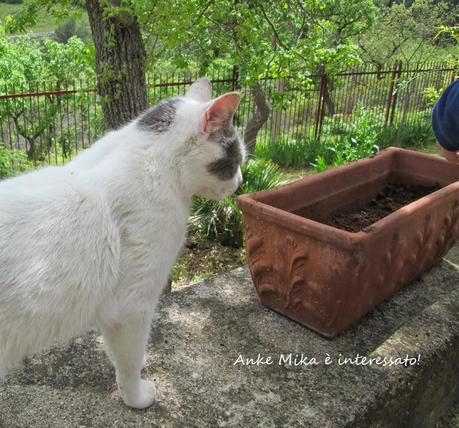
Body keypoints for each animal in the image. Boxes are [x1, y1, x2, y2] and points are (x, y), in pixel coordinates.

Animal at [0, 78, 246, 410]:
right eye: (236, 161)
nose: (241, 181)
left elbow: (120, 354)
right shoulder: (131, 308)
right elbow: (129, 363)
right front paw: (136, 397)